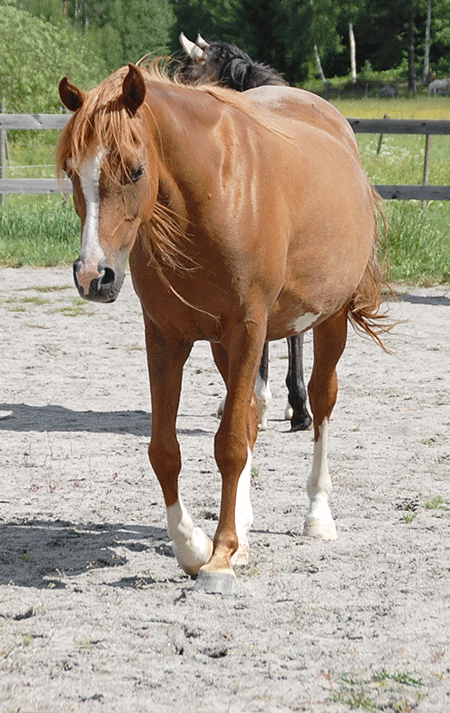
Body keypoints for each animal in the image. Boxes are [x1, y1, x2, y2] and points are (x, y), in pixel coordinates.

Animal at [56, 62, 386, 596]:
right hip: (225, 347)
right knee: (250, 414)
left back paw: (317, 515)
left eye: (136, 170)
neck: (214, 191)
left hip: (329, 321)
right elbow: (167, 449)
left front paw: (219, 559)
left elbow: (229, 444)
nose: (93, 276)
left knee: (320, 402)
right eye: (71, 172)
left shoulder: (248, 329)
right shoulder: (167, 336)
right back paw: (244, 531)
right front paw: (195, 545)